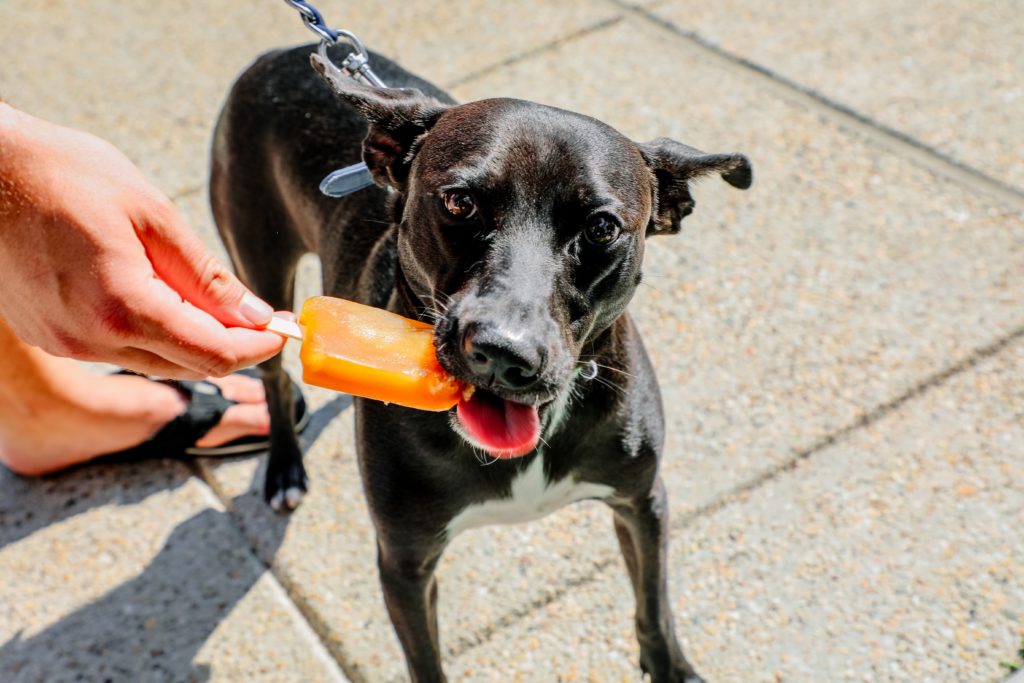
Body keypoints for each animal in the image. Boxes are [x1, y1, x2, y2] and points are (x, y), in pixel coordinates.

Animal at [209, 44, 753, 683]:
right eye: (459, 201)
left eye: (601, 228)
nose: (502, 353)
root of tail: (281, 52)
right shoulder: (405, 565)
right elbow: (426, 661)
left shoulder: (644, 504)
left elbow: (655, 604)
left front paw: (672, 666)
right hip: (258, 268)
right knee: (272, 377)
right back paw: (284, 470)